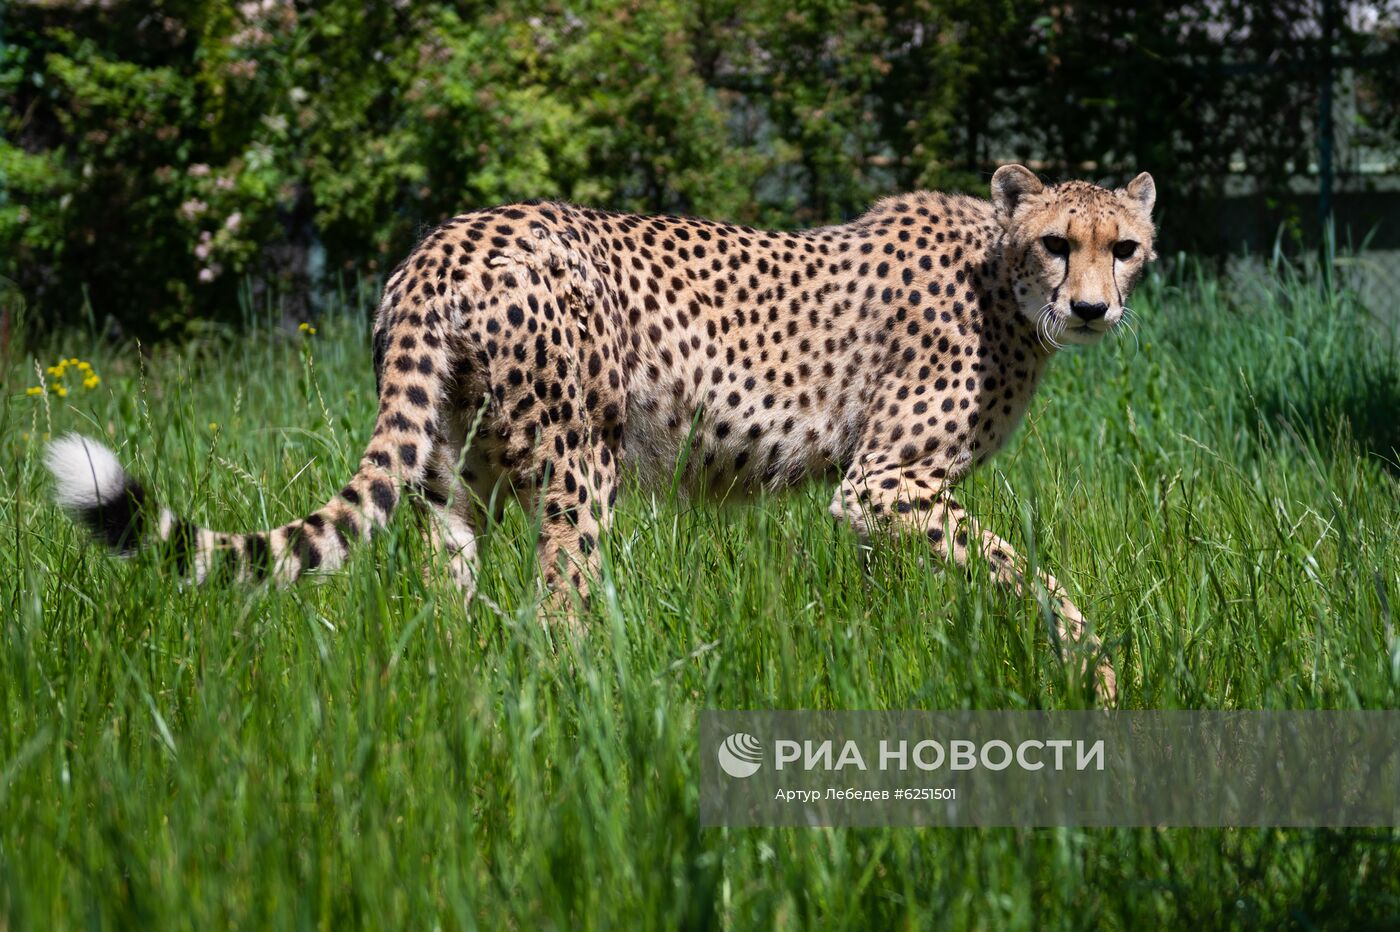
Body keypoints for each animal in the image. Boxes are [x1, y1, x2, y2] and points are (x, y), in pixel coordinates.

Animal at [49, 165, 1153, 696]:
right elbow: (1028, 572)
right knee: (557, 614)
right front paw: (1097, 674)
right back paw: (596, 719)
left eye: (1127, 247)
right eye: (1058, 243)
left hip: (452, 481)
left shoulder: (877, 500)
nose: (1095, 309)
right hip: (582, 465)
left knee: (449, 602)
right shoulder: (885, 481)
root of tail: (445, 242)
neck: (999, 275)